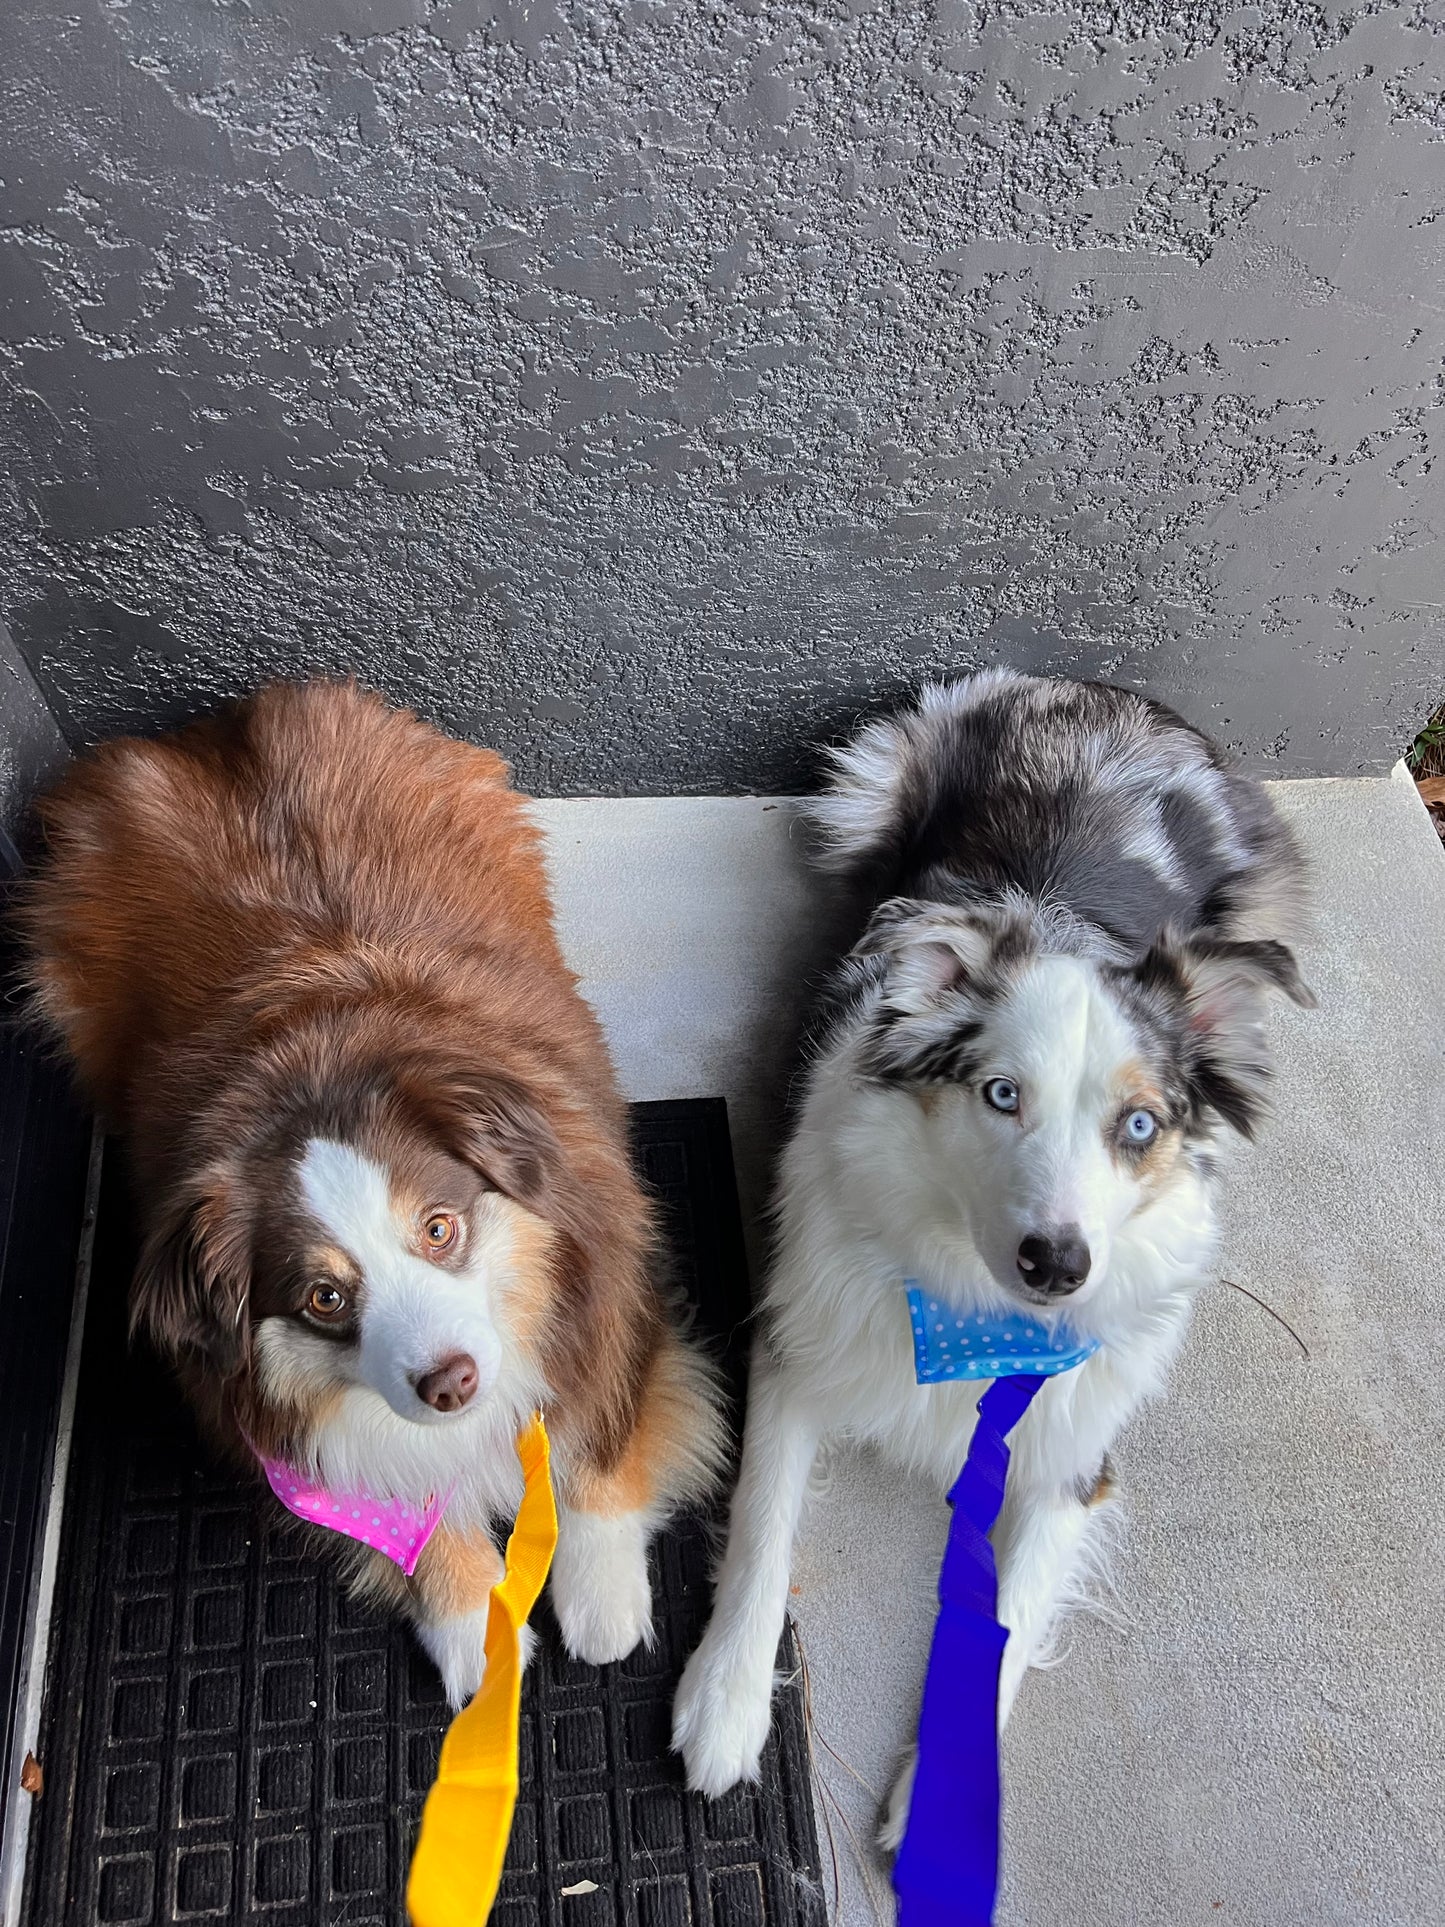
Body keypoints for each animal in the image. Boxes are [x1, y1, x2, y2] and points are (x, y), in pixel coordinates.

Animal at [19, 678, 720, 1703]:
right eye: (322, 1296)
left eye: (438, 1227)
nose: (450, 1381)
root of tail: (215, 730)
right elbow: (410, 1516)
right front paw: (473, 1633)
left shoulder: (613, 1297)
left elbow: (596, 1444)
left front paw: (602, 1603)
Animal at [674, 670, 1317, 1842]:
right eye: (1000, 1093)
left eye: (1140, 1125)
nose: (1056, 1264)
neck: (969, 1311)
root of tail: (1102, 692)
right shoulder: (792, 1354)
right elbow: (759, 1529)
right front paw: (725, 1702)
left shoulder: (1074, 1460)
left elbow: (1008, 1620)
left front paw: (939, 1809)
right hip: (865, 780)